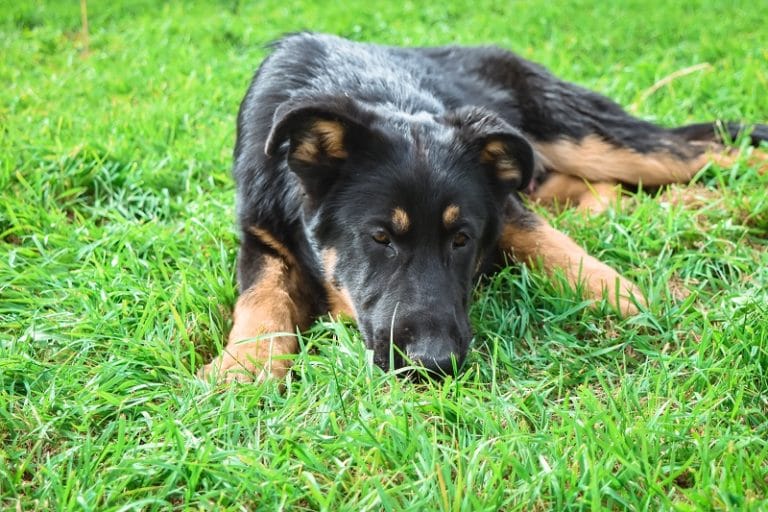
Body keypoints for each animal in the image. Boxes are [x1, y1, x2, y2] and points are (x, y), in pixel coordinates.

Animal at [200, 32, 768, 382]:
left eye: (461, 239)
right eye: (380, 237)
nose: (434, 365)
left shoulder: (504, 205)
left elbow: (554, 247)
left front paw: (630, 301)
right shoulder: (261, 236)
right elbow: (262, 297)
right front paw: (243, 367)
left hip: (584, 136)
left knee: (700, 147)